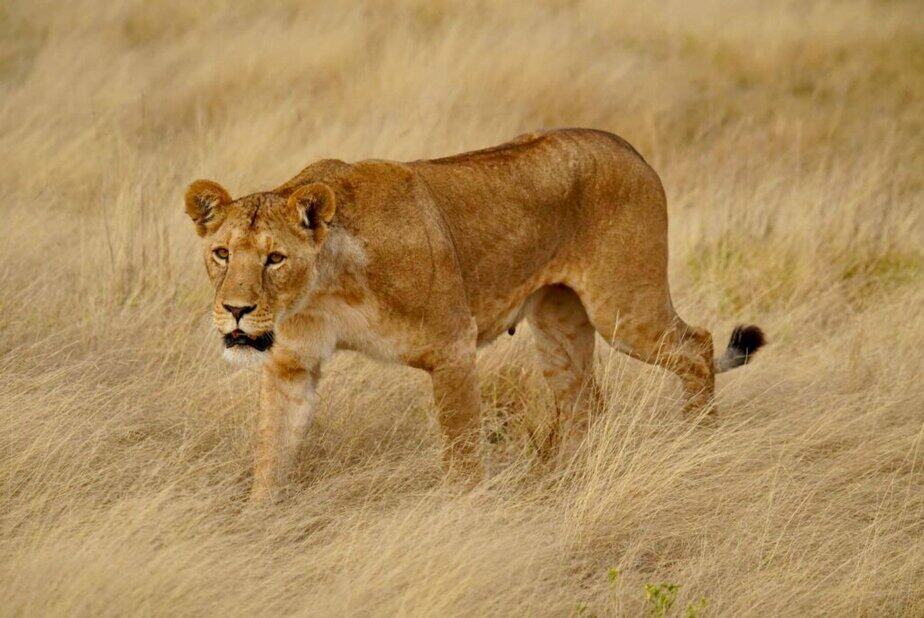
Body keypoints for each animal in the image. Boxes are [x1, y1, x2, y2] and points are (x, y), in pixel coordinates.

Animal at [184, 128, 765, 500]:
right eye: (222, 254)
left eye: (275, 258)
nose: (236, 311)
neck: (323, 288)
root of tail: (628, 147)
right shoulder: (292, 366)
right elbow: (272, 453)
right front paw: (259, 525)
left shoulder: (452, 347)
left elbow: (462, 456)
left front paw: (462, 521)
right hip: (558, 325)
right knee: (585, 403)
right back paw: (564, 485)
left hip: (623, 307)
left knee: (698, 346)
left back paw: (699, 442)